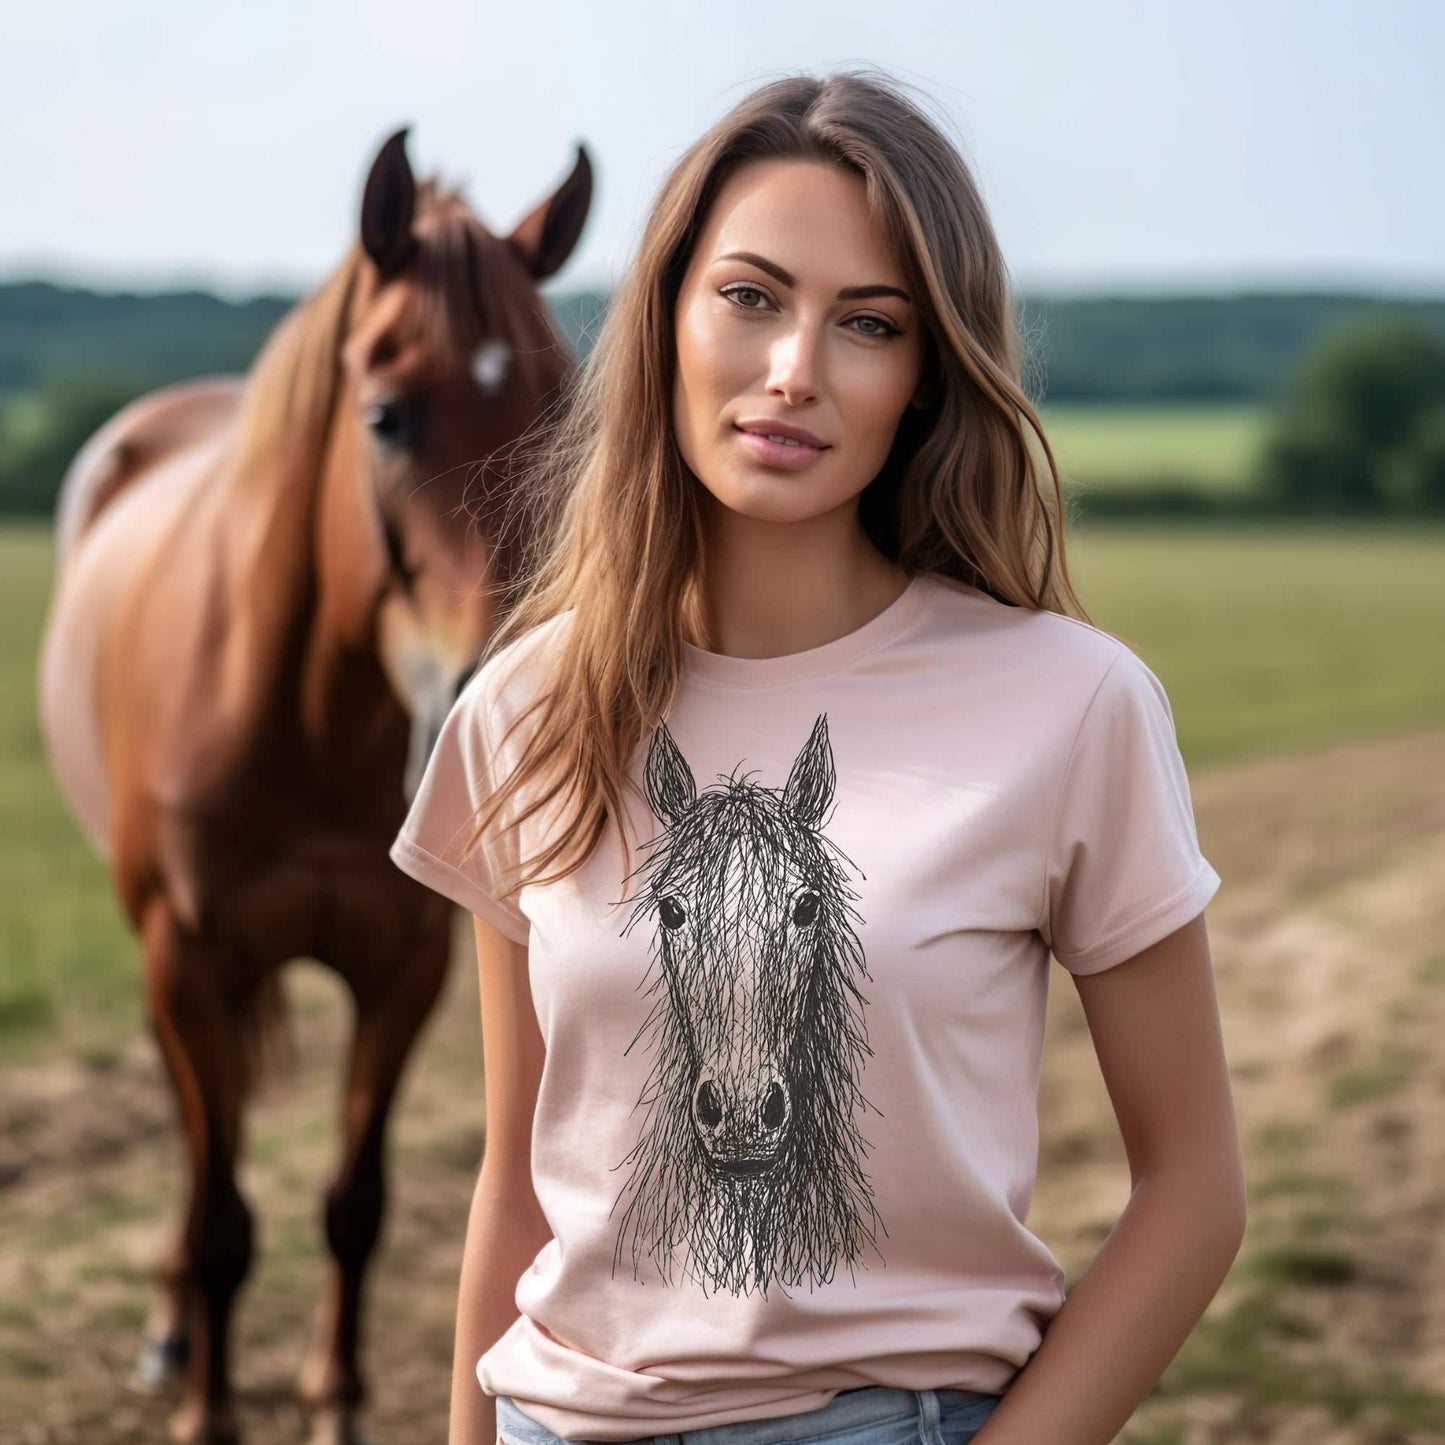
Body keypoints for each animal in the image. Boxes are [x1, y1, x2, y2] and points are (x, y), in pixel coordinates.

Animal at [35, 127, 592, 1444]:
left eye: (555, 410)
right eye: (384, 416)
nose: (498, 689)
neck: (310, 722)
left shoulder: (406, 965)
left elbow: (353, 1201)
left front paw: (331, 1402)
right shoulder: (188, 951)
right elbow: (224, 1208)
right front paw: (206, 1406)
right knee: (198, 1134)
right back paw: (171, 1330)